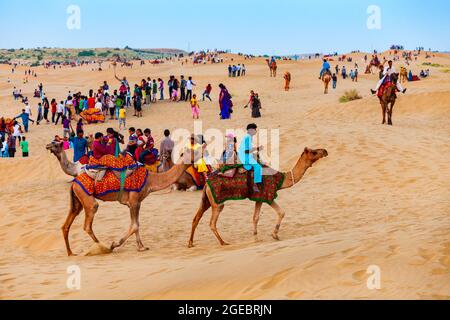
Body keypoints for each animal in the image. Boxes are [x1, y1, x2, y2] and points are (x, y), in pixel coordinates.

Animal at [188, 148, 328, 248]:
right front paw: (274, 235)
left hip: (206, 199)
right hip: (217, 202)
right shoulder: (267, 195)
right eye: (314, 152)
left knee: (196, 218)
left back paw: (190, 243)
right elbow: (281, 212)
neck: (280, 179)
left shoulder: (259, 198)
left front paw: (256, 238)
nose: (325, 151)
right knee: (212, 222)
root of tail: (206, 182)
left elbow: (255, 217)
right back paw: (223, 242)